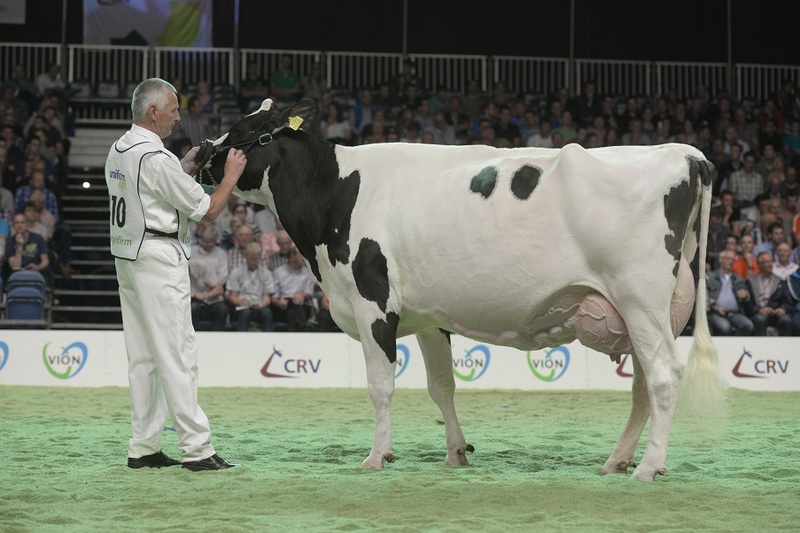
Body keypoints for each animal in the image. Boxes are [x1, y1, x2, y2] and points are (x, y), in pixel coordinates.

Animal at [197, 98, 726, 481]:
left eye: (241, 133)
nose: (198, 158)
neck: (334, 191)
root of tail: (685, 153)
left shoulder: (373, 302)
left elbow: (380, 385)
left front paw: (377, 456)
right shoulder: (427, 316)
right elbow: (441, 386)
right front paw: (456, 452)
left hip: (640, 299)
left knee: (663, 377)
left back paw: (648, 468)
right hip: (645, 312)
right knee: (642, 386)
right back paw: (617, 460)